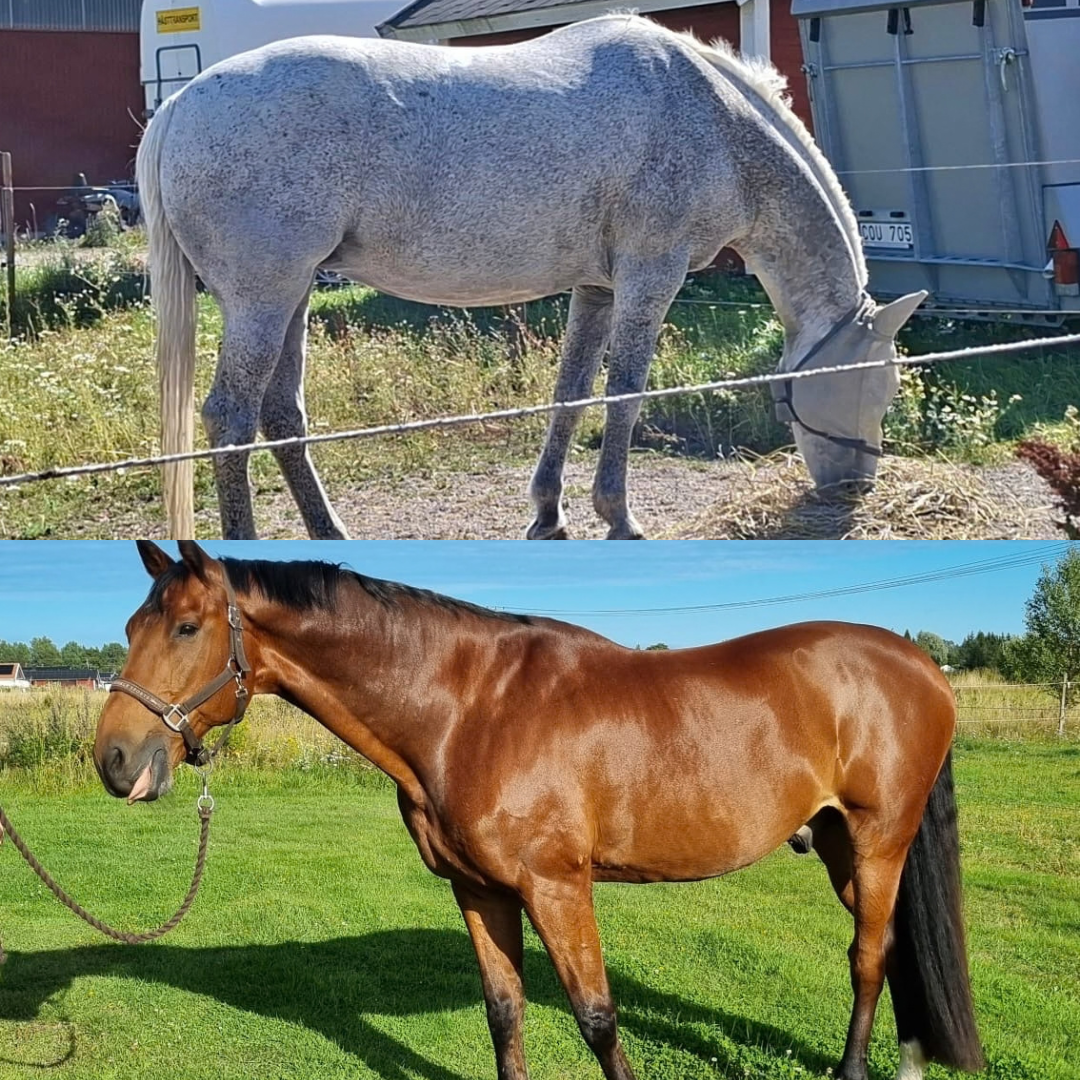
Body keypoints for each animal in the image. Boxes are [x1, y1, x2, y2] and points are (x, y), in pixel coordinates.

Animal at [94, 541, 983, 1080]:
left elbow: (596, 1018)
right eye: (132, 623)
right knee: (891, 947)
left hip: (877, 840)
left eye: (185, 627)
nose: (114, 760)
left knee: (866, 956)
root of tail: (919, 664)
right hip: (839, 845)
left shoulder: (557, 887)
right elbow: (504, 1010)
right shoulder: (480, 891)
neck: (469, 708)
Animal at [137, 14, 927, 541]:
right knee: (230, 420)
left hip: (293, 294)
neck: (715, 121)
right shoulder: (651, 276)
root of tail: (179, 104)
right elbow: (624, 394)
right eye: (877, 388)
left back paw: (332, 538)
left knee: (281, 416)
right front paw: (618, 516)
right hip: (261, 299)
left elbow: (571, 394)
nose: (855, 487)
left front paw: (549, 513)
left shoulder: (598, 287)